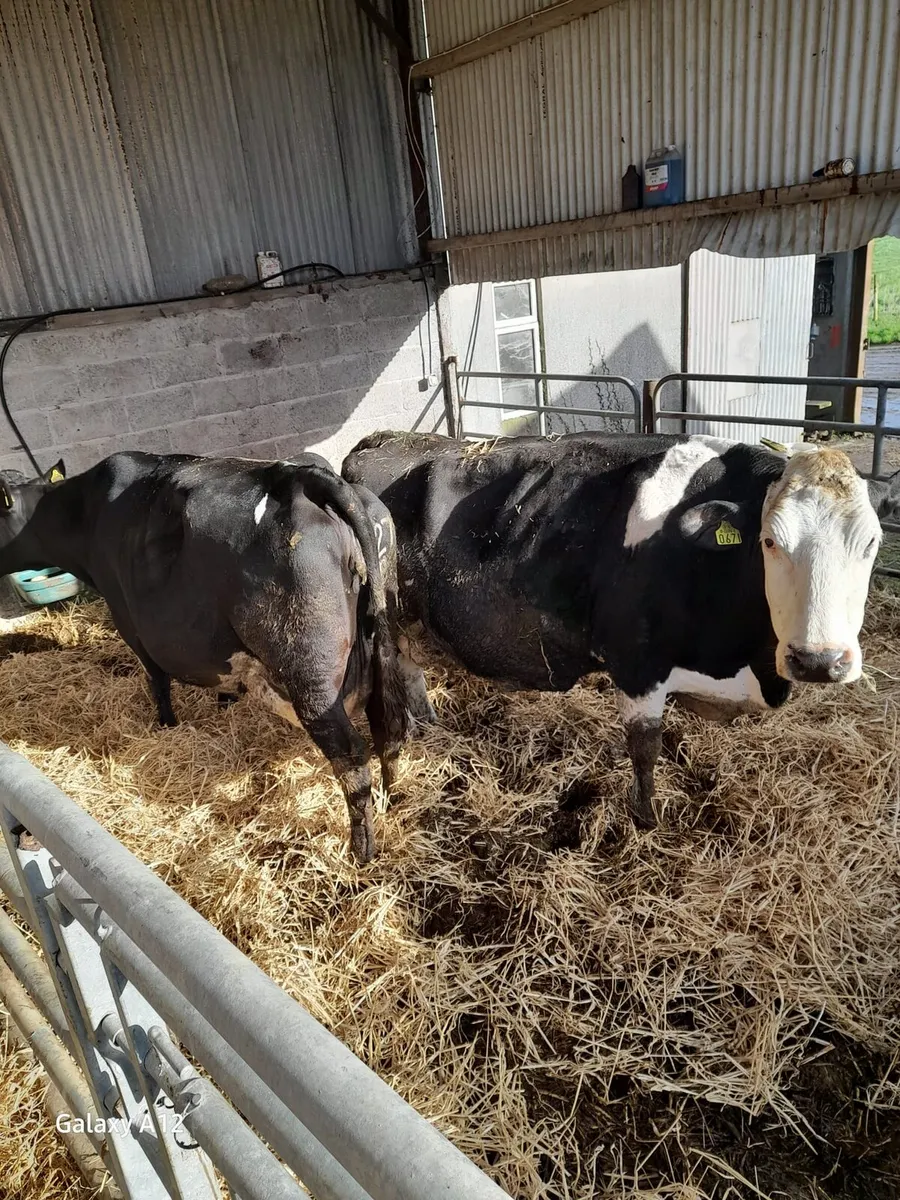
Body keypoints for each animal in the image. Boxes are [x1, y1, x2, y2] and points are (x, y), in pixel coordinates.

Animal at [0, 451, 429, 862]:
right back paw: (394, 801)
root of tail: (301, 477)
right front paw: (224, 703)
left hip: (310, 676)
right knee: (388, 726)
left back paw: (361, 853)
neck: (83, 514)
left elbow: (157, 682)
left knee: (352, 756)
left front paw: (167, 724)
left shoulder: (132, 625)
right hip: (381, 639)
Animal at [343, 430, 900, 829]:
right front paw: (647, 822)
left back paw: (430, 726)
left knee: (412, 667)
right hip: (383, 627)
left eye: (872, 543)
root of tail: (382, 439)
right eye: (770, 542)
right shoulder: (636, 664)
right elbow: (645, 749)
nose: (820, 661)